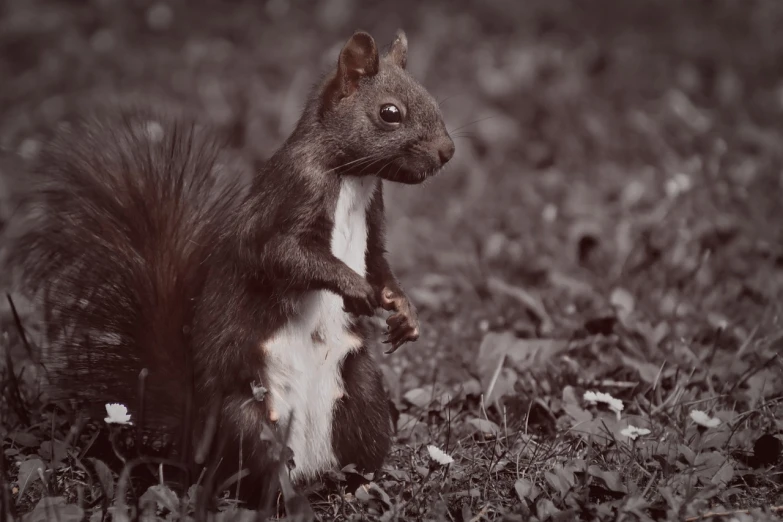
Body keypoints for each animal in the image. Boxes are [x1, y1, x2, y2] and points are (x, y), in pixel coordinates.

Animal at [6, 29, 456, 504]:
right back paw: (288, 500)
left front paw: (403, 310)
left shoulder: (374, 224)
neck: (353, 178)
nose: (447, 151)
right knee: (262, 478)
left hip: (364, 397)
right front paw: (357, 290)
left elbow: (380, 265)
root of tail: (197, 442)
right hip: (245, 421)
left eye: (430, 96)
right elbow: (283, 255)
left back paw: (363, 487)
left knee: (354, 455)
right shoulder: (289, 199)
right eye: (390, 113)